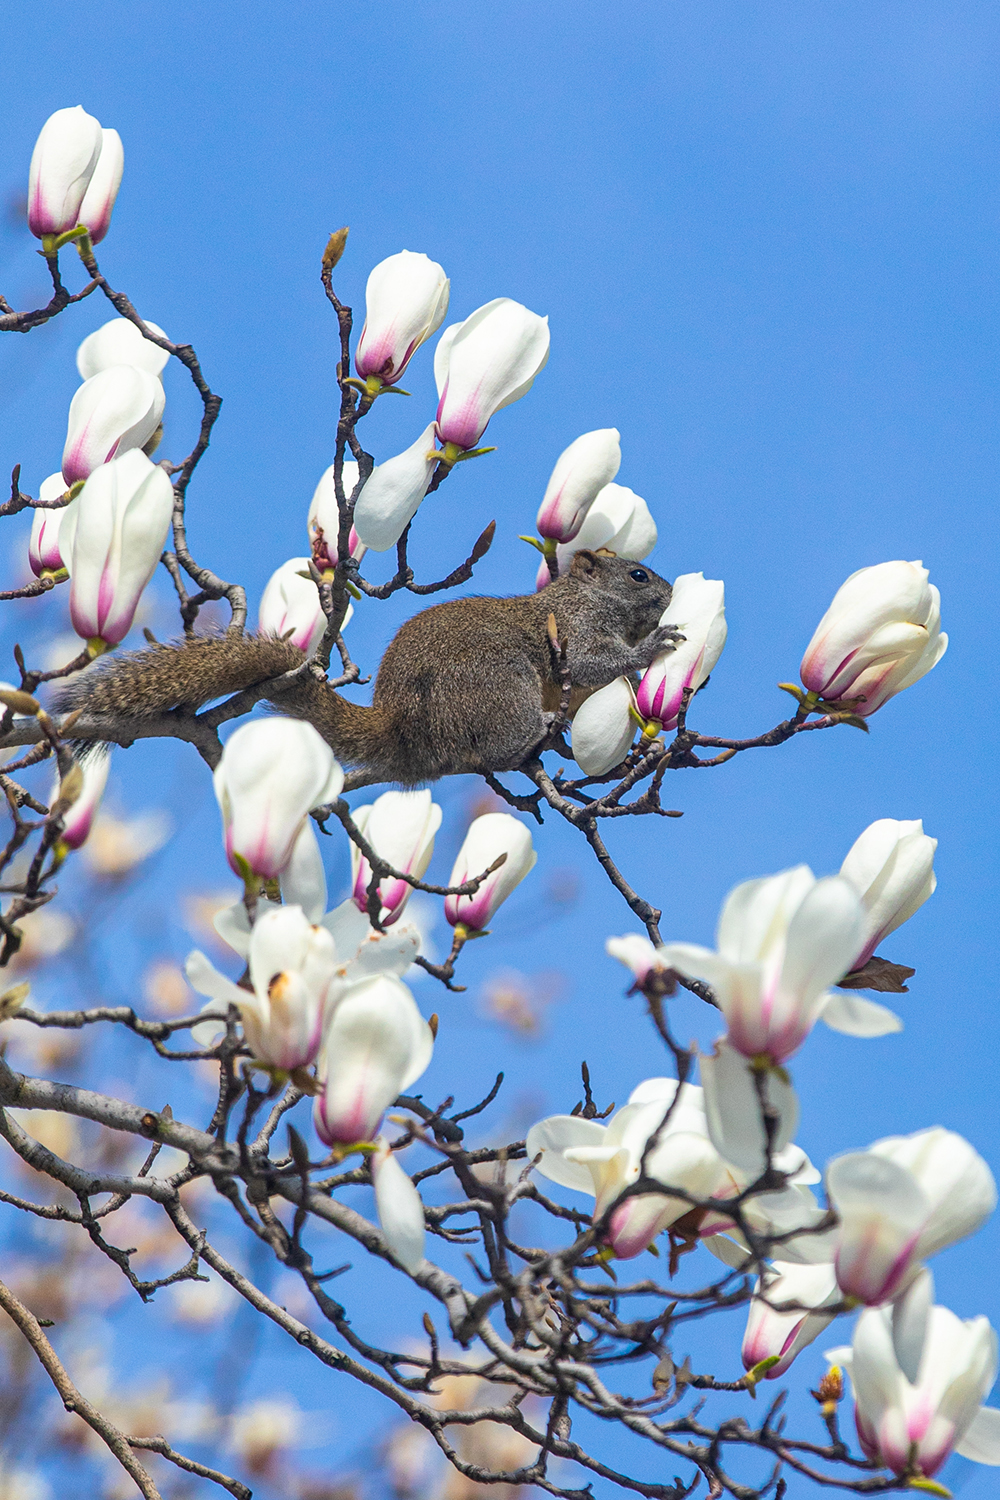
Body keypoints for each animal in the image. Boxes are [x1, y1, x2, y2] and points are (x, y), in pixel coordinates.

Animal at [58, 549, 683, 786]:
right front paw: (653, 645)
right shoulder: (573, 633)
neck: (579, 598)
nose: (672, 593)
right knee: (500, 742)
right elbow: (592, 662)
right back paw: (539, 732)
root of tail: (403, 727)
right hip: (498, 683)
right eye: (637, 576)